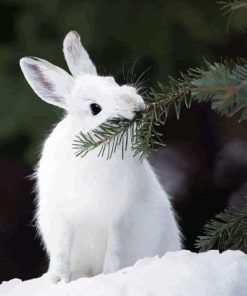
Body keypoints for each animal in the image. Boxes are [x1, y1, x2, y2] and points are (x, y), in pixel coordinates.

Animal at [19, 31, 181, 284]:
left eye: (112, 81)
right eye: (95, 108)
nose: (136, 106)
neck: (95, 150)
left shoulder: (119, 217)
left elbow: (114, 250)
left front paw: (110, 275)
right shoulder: (64, 216)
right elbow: (62, 251)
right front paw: (57, 281)